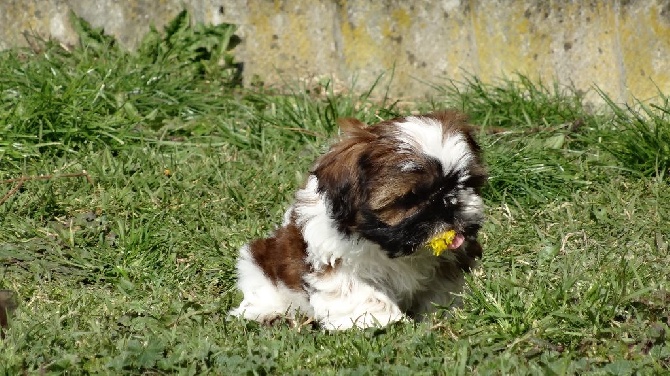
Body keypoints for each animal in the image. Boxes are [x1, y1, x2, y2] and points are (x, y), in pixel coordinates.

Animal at [231, 111, 488, 328]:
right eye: (411, 198)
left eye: (465, 182)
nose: (449, 202)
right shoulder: (336, 261)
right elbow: (358, 292)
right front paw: (377, 321)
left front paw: (444, 313)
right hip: (258, 260)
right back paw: (268, 312)